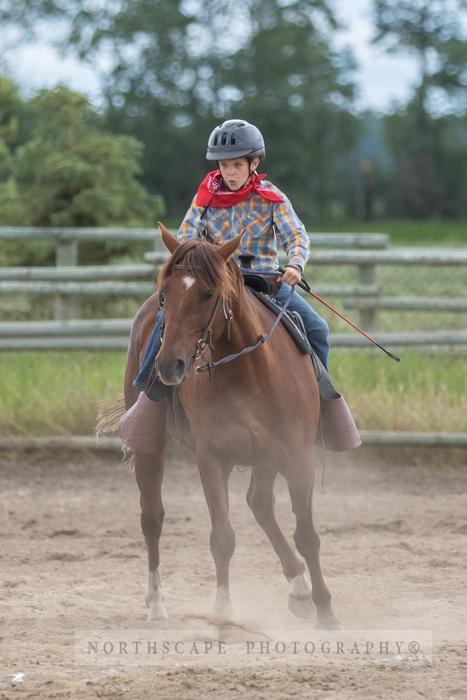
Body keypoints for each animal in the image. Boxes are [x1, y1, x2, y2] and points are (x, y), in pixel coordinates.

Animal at [122, 224, 342, 628]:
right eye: (165, 294)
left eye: (208, 293)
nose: (169, 365)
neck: (247, 369)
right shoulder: (212, 458)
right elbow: (222, 537)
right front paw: (222, 611)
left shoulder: (297, 457)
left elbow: (307, 535)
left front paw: (326, 612)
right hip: (150, 445)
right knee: (152, 517)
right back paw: (156, 603)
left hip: (267, 455)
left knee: (260, 504)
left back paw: (299, 587)